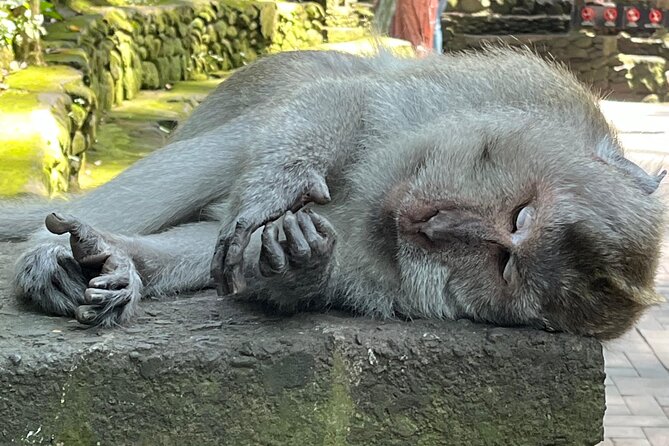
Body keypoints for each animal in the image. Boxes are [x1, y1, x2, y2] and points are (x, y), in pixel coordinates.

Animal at [0, 46, 665, 340]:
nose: (439, 225)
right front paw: (274, 192)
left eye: (505, 263)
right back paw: (44, 256)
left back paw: (117, 263)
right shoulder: (509, 90)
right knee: (267, 119)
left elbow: (261, 264)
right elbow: (352, 100)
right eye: (520, 216)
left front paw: (298, 267)